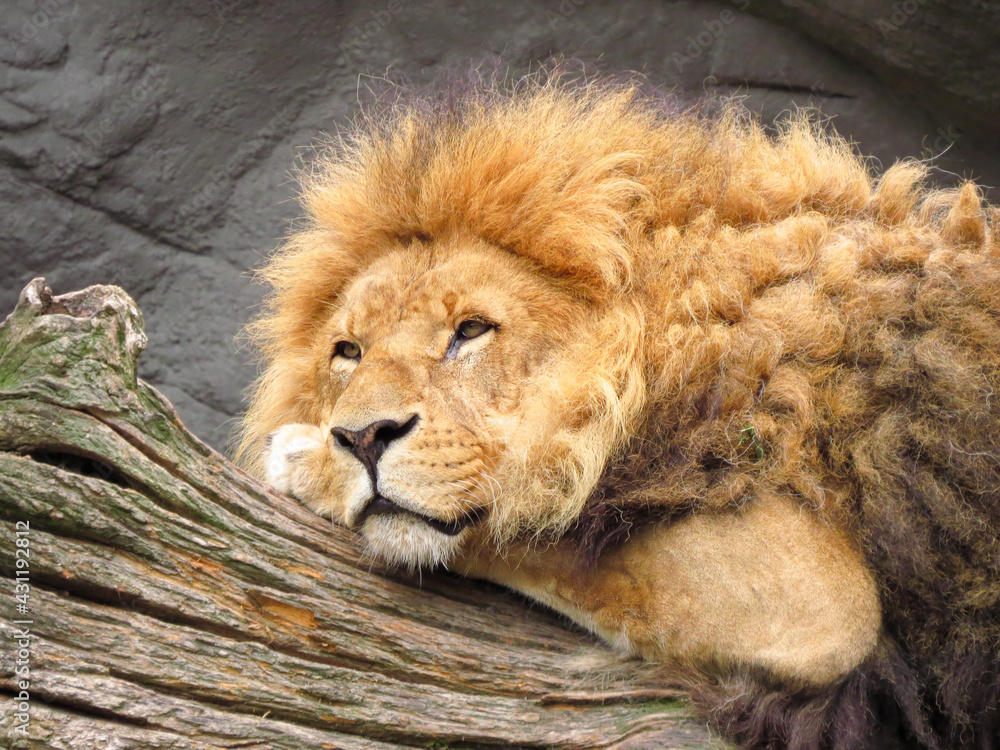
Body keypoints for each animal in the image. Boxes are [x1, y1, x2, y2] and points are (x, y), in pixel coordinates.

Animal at [237, 72, 1000, 749]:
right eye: (347, 350)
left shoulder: (816, 602)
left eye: (471, 330)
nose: (362, 437)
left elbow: (531, 531)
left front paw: (305, 459)